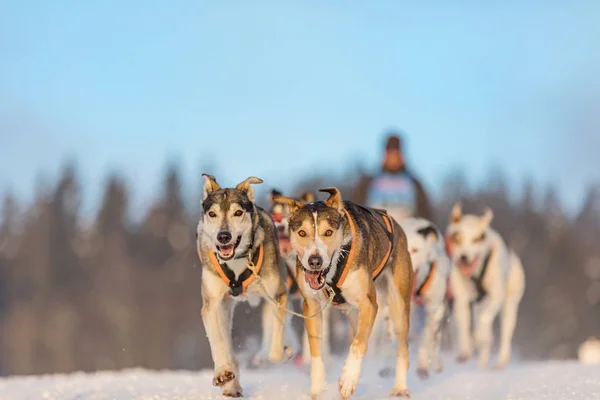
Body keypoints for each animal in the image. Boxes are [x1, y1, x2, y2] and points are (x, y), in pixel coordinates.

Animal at [197, 175, 290, 396]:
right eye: (212, 214)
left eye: (238, 212)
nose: (223, 236)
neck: (237, 262)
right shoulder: (211, 304)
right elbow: (217, 341)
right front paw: (222, 372)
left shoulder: (278, 296)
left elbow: (275, 349)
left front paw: (283, 353)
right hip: (224, 308)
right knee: (228, 347)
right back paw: (232, 383)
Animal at [276, 188, 412, 400]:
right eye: (302, 233)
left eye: (328, 232)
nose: (315, 261)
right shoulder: (311, 306)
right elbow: (316, 352)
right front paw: (316, 390)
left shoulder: (368, 303)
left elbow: (358, 344)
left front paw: (348, 379)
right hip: (353, 314)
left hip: (398, 304)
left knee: (401, 347)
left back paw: (400, 387)